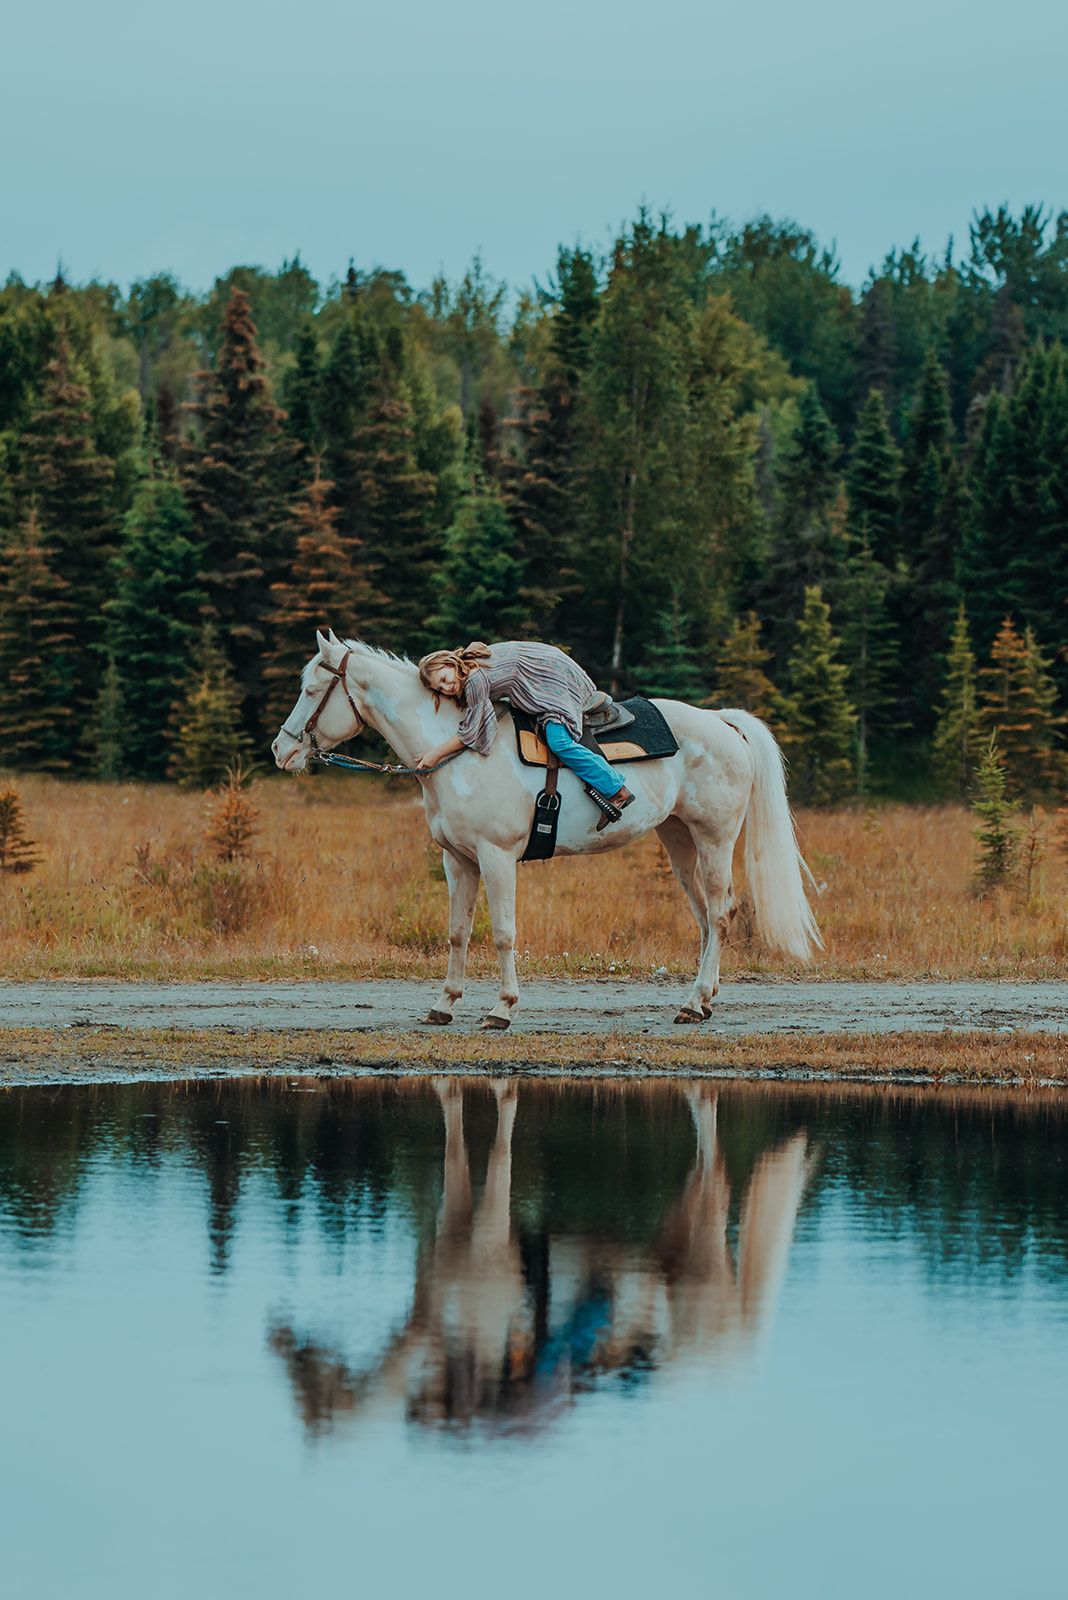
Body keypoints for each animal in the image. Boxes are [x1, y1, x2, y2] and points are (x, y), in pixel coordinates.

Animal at [271, 629, 821, 1029]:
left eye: (312, 690)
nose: (281, 750)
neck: (460, 755)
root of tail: (722, 722)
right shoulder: (458, 860)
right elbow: (457, 932)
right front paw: (444, 1005)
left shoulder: (495, 857)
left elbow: (502, 934)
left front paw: (501, 1009)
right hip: (680, 840)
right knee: (706, 918)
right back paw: (703, 1001)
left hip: (714, 838)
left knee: (722, 914)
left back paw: (692, 1003)